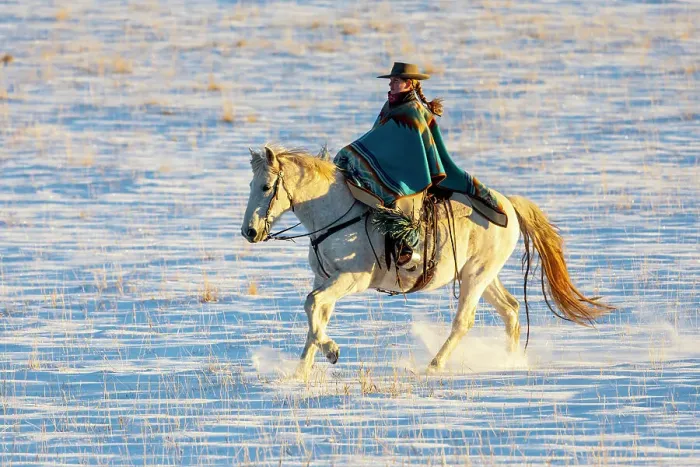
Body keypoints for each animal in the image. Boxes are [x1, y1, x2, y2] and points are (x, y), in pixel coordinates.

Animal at [241, 145, 613, 378]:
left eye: (266, 186)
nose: (249, 231)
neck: (335, 213)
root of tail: (508, 203)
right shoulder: (325, 279)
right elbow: (314, 314)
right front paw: (301, 370)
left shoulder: (351, 279)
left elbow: (311, 305)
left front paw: (331, 352)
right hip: (481, 275)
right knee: (510, 310)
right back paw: (510, 361)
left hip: (476, 277)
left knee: (464, 321)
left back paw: (435, 365)